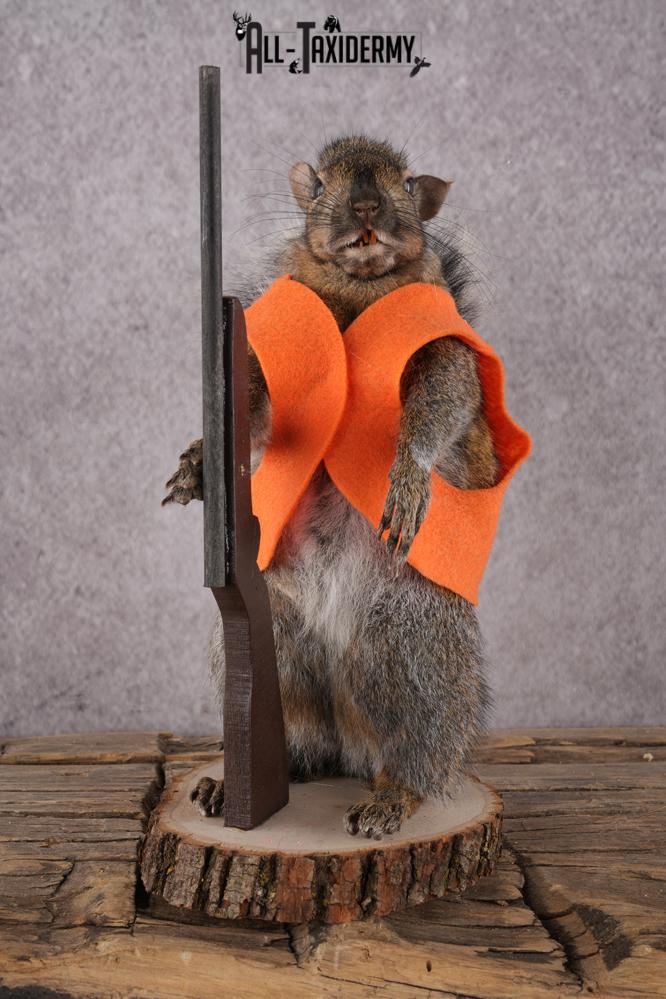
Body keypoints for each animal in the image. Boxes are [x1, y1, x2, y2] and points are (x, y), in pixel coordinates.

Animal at [163, 134, 498, 839]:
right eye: (319, 187)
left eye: (405, 184)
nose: (366, 206)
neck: (355, 287)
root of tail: (351, 736)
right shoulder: (269, 367)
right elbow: (258, 409)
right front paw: (201, 460)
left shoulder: (444, 349)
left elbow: (444, 398)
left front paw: (408, 475)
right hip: (285, 648)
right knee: (303, 738)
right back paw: (239, 782)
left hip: (412, 644)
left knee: (417, 751)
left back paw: (390, 797)